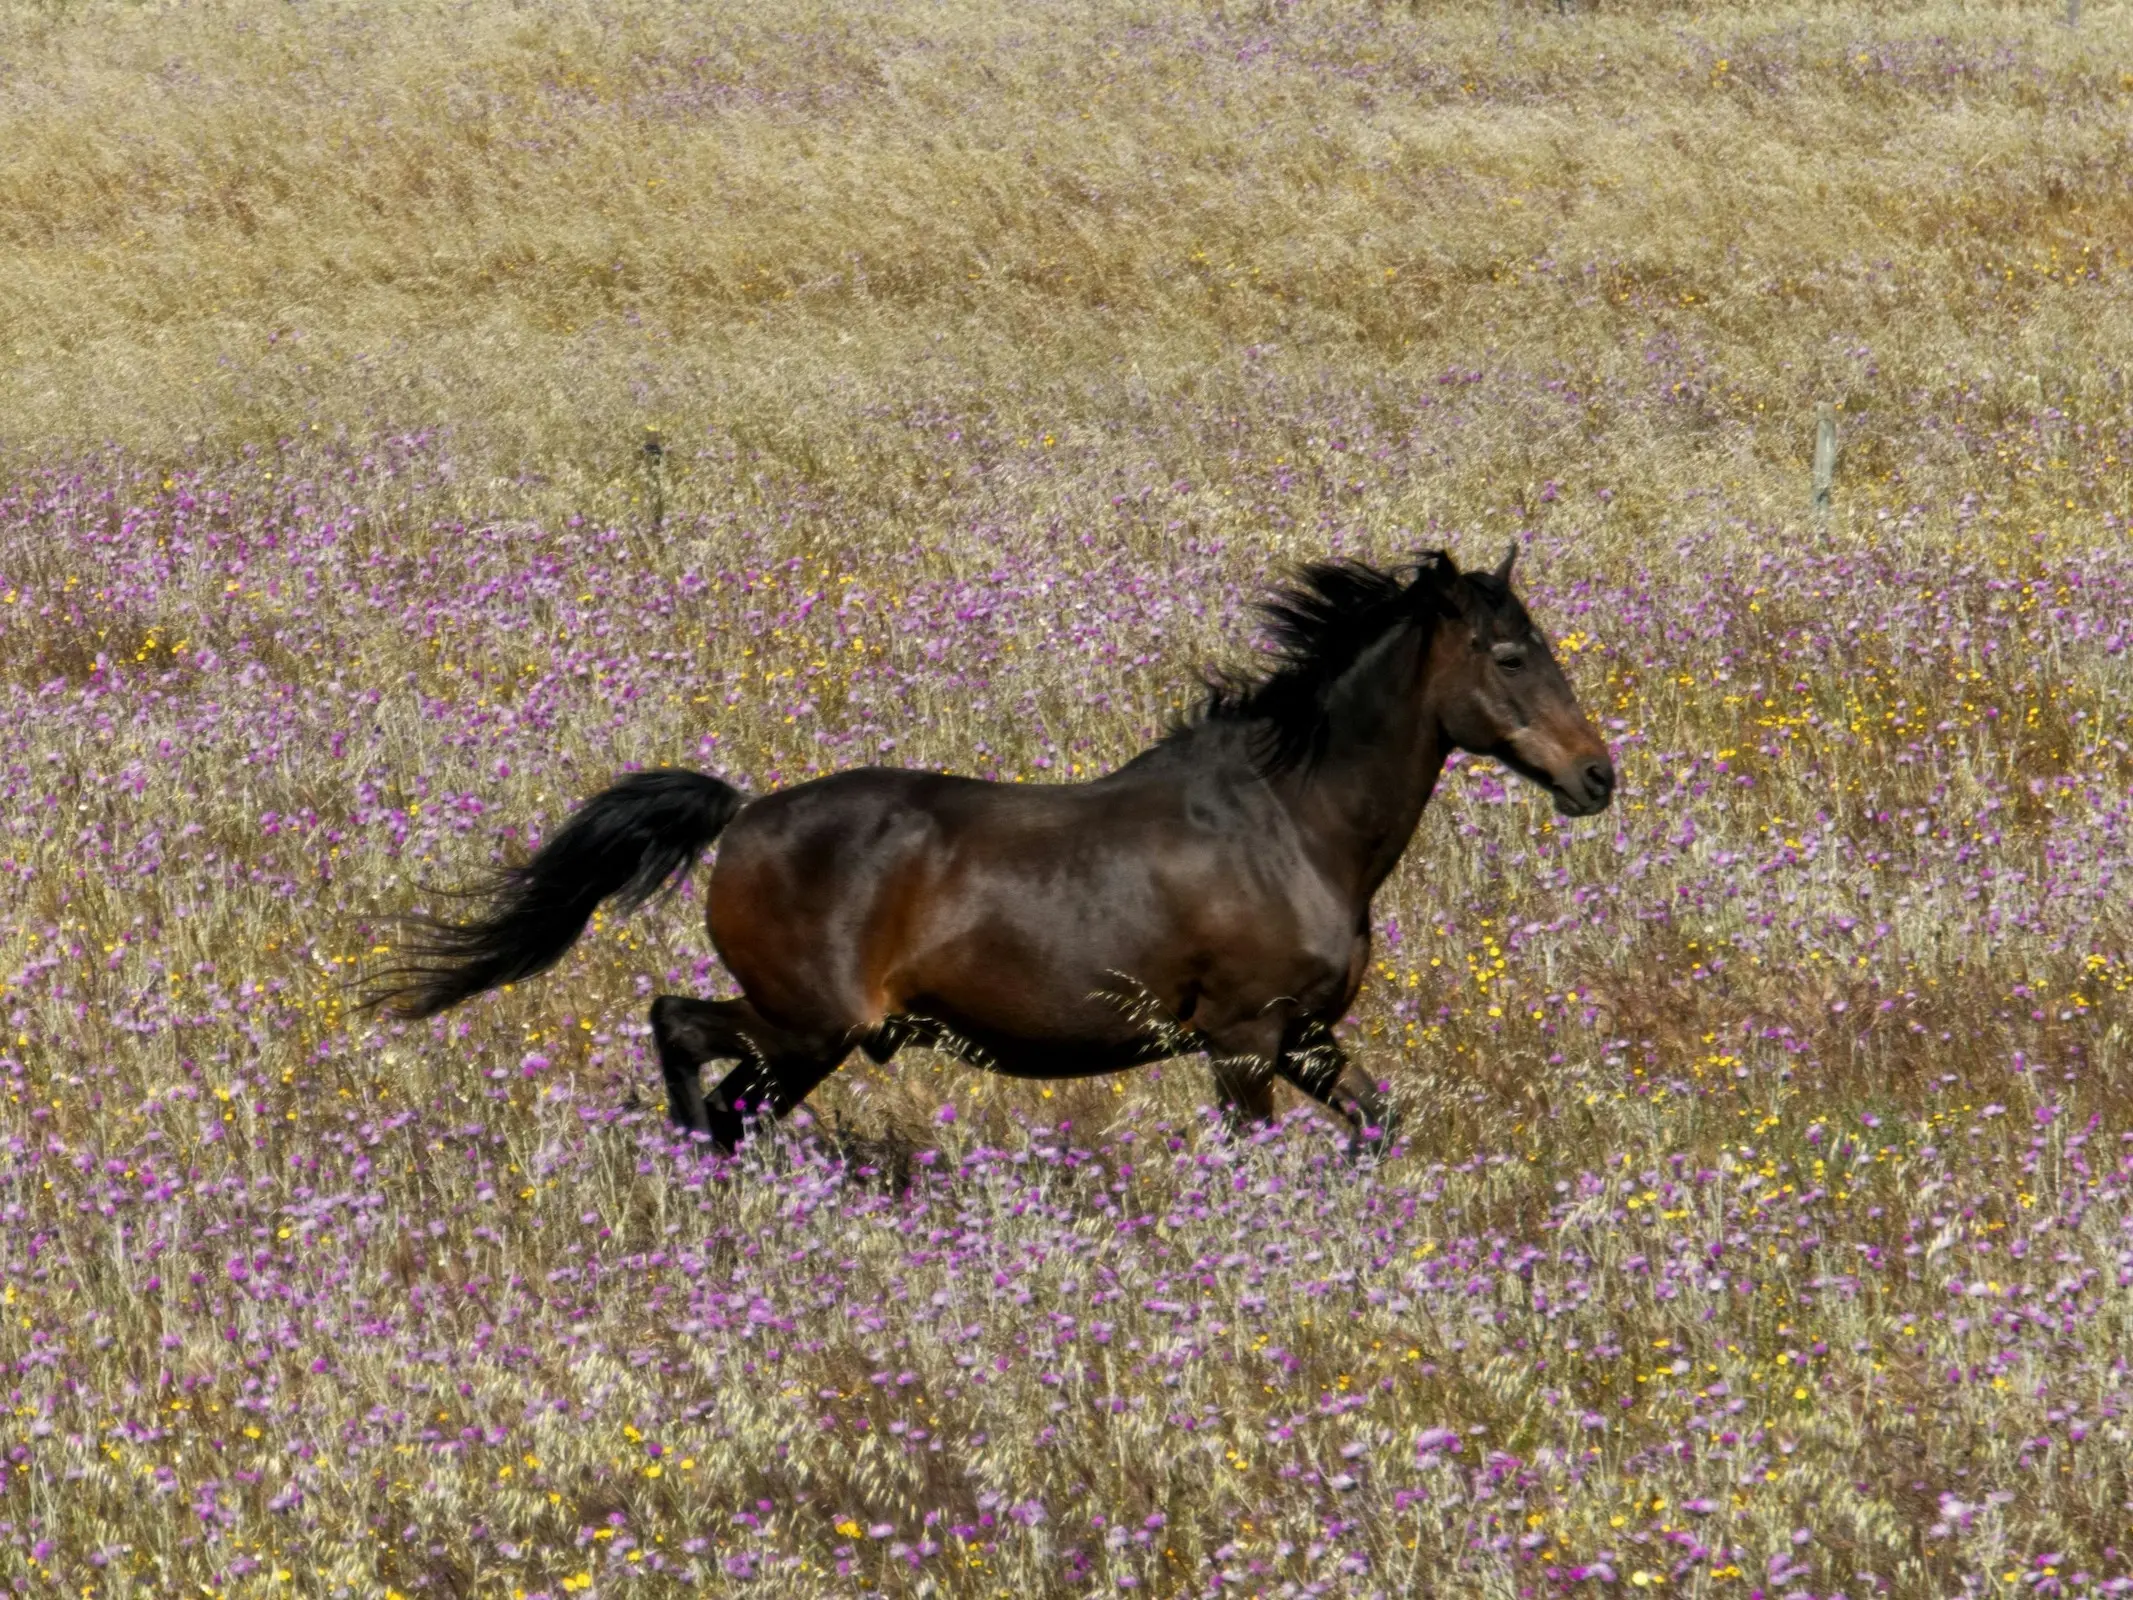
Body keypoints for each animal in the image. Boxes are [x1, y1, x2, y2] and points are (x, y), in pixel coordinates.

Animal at [379, 550, 1612, 1152]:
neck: (1291, 824)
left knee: (728, 1098)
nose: (1598, 777)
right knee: (679, 1030)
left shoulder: (1306, 1039)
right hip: (808, 1024)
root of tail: (741, 816)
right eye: (1510, 656)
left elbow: (1378, 1128)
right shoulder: (1243, 1041)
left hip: (806, 1042)